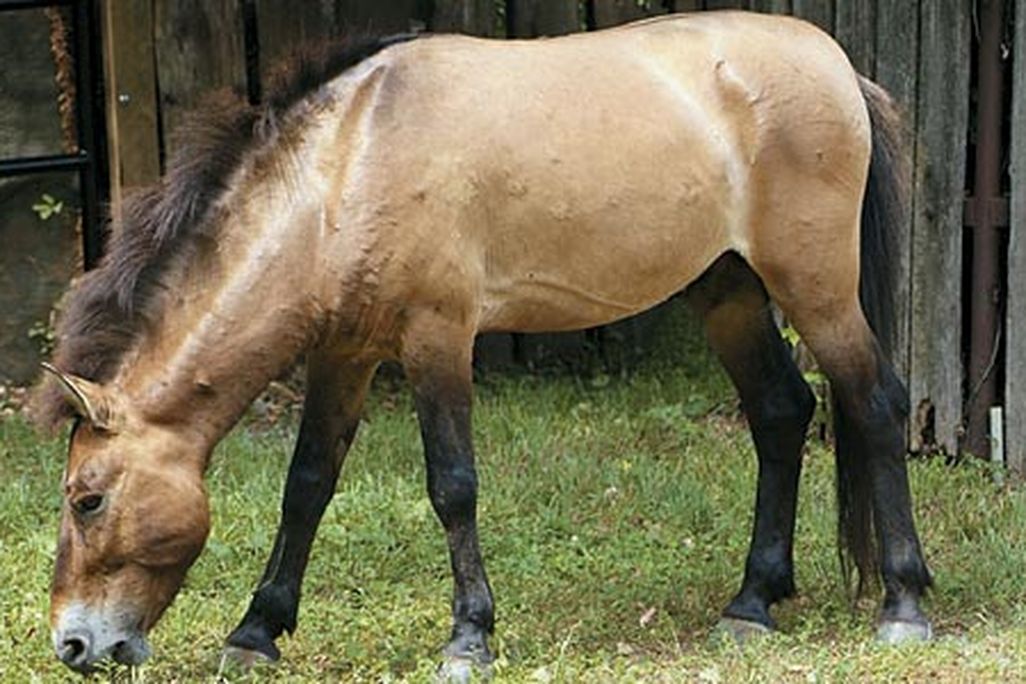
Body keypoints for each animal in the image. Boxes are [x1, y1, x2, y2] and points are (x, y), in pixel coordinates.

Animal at [34, 11, 932, 675]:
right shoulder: (345, 354)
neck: (345, 166)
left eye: (87, 498)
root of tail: (838, 67)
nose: (74, 644)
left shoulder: (437, 338)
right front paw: (256, 631)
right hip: (731, 293)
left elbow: (452, 486)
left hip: (815, 287)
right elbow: (308, 483)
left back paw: (905, 605)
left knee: (875, 405)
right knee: (782, 415)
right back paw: (751, 604)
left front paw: (469, 638)